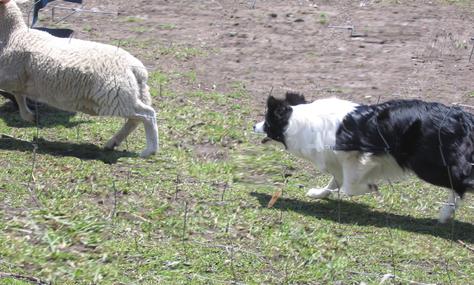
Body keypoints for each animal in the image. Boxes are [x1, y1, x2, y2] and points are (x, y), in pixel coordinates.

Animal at [0, 0, 159, 158]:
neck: (14, 34)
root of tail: (136, 68)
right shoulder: (17, 79)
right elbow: (18, 95)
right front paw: (29, 116)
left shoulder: (10, 75)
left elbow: (16, 94)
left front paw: (28, 114)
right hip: (130, 95)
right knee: (135, 119)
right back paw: (113, 143)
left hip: (115, 97)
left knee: (147, 114)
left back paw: (149, 150)